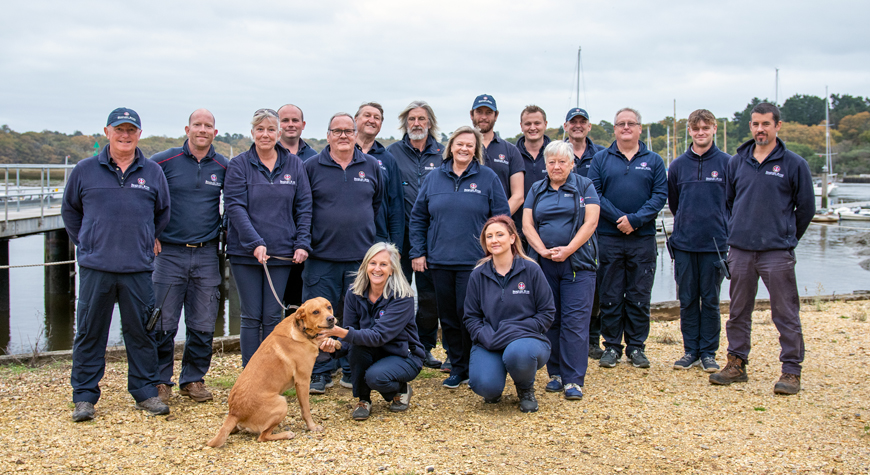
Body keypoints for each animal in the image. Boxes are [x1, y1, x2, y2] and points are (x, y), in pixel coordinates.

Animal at [208, 296, 340, 448]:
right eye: (315, 312)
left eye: (329, 307)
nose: (331, 319)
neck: (300, 330)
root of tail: (234, 413)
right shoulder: (302, 381)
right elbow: (306, 410)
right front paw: (312, 427)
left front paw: (334, 343)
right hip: (281, 403)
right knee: (263, 436)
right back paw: (286, 434)